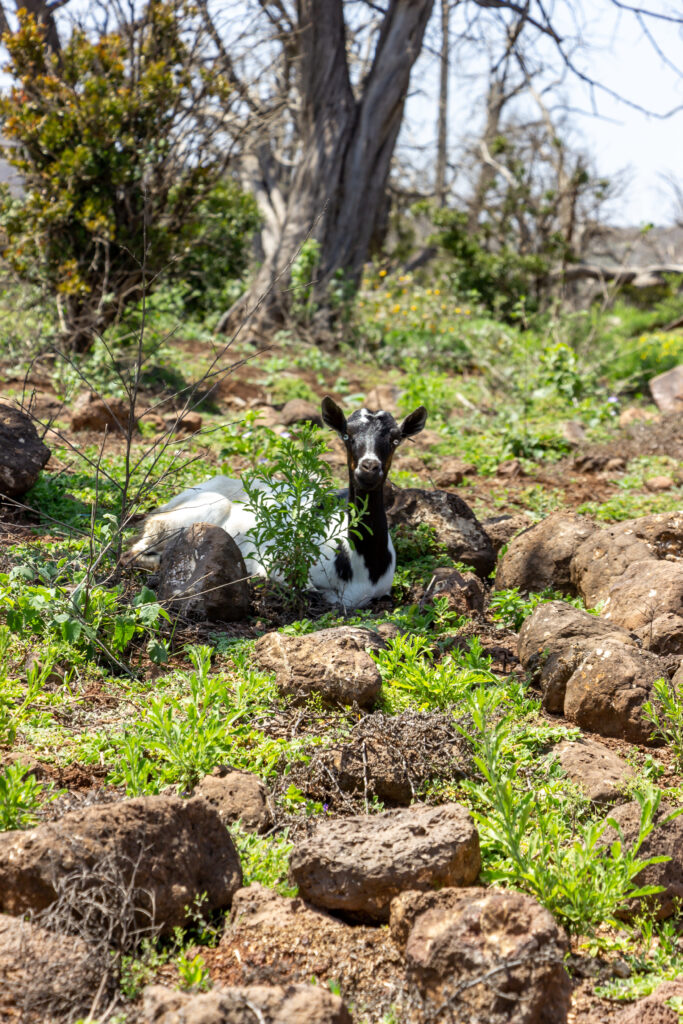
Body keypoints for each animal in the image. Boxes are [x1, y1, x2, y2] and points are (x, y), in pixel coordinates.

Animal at [124, 395, 428, 606]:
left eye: (396, 439)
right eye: (346, 435)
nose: (369, 468)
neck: (363, 565)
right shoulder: (281, 568)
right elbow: (307, 590)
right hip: (192, 513)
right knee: (133, 552)